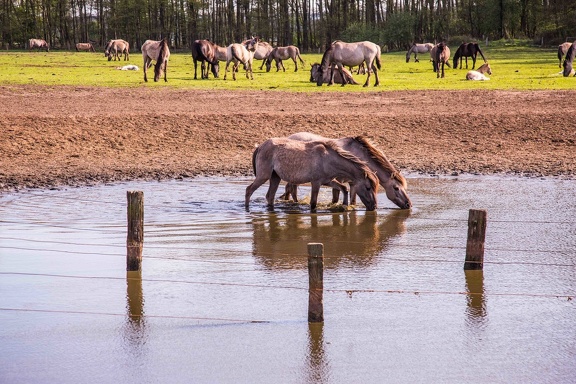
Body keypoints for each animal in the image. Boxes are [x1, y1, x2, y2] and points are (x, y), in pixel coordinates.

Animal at [245, 137, 380, 212]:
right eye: (368, 187)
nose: (374, 206)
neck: (328, 158)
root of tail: (260, 146)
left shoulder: (328, 181)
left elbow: (344, 188)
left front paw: (344, 205)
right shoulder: (316, 182)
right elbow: (313, 204)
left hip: (275, 177)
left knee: (270, 196)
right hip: (264, 176)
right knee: (249, 190)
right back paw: (247, 209)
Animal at [282, 133, 412, 210]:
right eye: (396, 188)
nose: (408, 204)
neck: (359, 154)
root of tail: (290, 137)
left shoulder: (353, 182)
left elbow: (352, 200)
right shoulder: (340, 179)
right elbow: (336, 196)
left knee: (290, 189)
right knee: (290, 189)